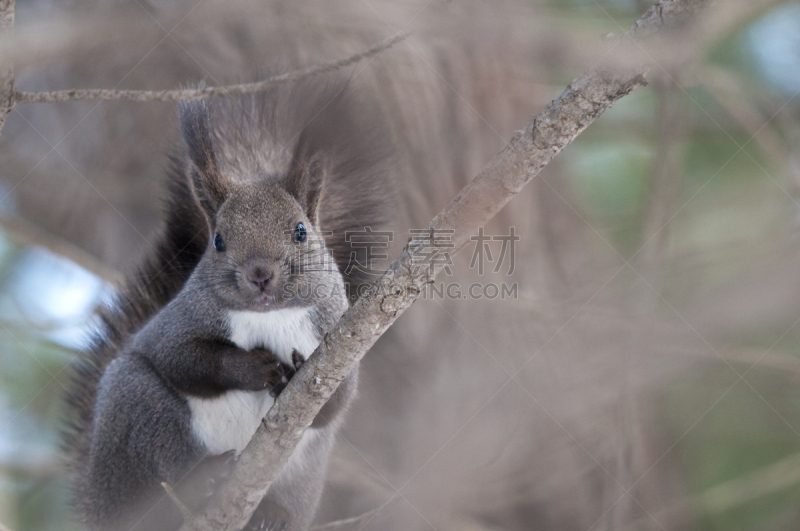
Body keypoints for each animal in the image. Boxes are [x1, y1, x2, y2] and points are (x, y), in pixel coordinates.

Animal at [61, 80, 392, 531]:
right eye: (218, 240)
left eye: (301, 231)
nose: (260, 274)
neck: (271, 316)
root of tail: (99, 505)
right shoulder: (177, 325)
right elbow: (184, 359)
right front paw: (252, 368)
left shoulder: (339, 335)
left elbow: (335, 402)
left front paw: (294, 374)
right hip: (137, 410)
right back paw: (199, 482)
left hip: (303, 472)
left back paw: (271, 514)